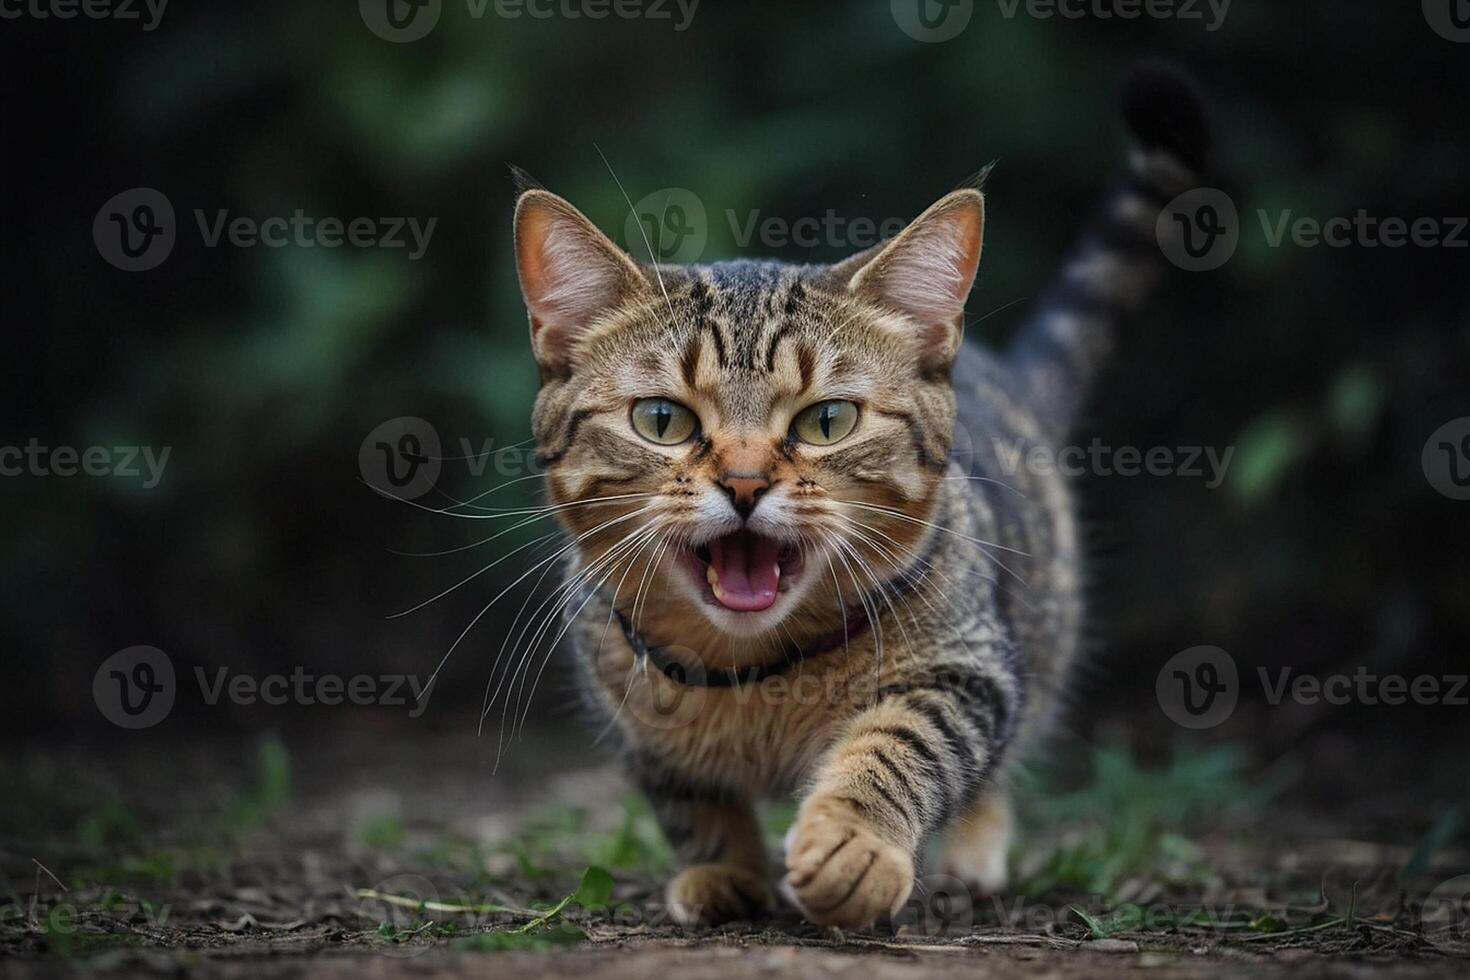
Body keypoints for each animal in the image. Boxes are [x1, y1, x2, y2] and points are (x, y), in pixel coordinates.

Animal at [508, 65, 1205, 934]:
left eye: (828, 420)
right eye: (662, 420)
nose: (744, 483)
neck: (750, 677)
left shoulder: (966, 669)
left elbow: (898, 745)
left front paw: (854, 846)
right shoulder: (628, 719)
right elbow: (693, 805)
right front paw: (724, 872)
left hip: (1034, 638)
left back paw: (972, 858)